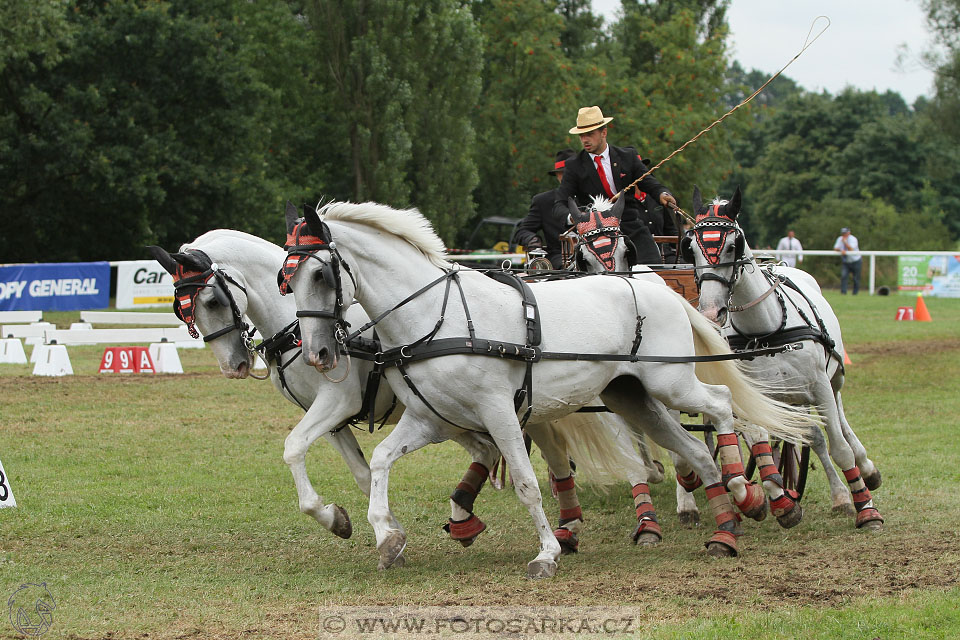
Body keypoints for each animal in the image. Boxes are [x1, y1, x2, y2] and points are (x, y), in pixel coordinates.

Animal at [282, 199, 812, 576]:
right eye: (287, 279)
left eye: (320, 273)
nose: (317, 353)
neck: (437, 316)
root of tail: (655, 288)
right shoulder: (428, 419)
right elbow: (380, 461)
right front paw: (386, 538)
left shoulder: (498, 412)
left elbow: (526, 483)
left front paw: (548, 553)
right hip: (633, 398)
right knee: (696, 452)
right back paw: (726, 530)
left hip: (671, 381)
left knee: (722, 406)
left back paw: (749, 492)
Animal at [684, 186, 884, 528]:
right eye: (692, 249)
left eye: (734, 245)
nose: (710, 312)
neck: (764, 331)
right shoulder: (752, 396)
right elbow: (760, 437)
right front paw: (779, 500)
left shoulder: (819, 386)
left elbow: (839, 448)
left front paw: (866, 509)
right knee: (808, 435)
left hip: (832, 380)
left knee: (839, 425)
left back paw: (863, 472)